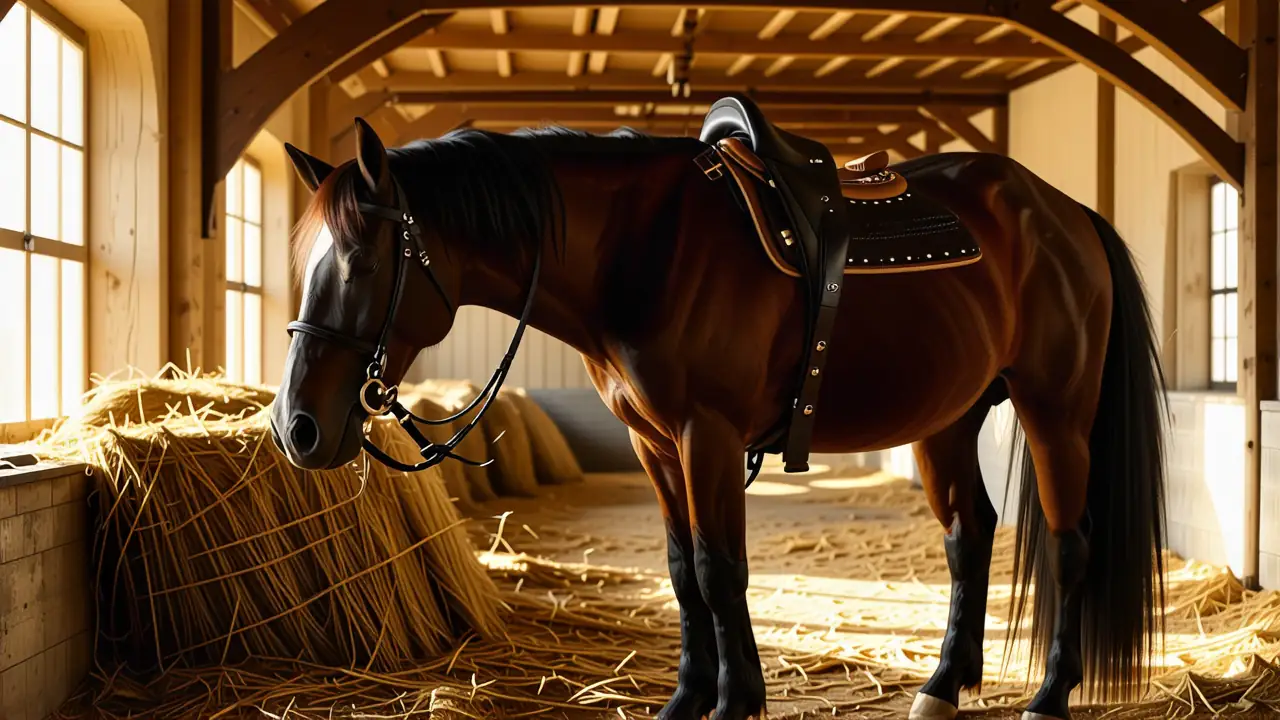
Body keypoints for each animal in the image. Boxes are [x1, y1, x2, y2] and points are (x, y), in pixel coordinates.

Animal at [270, 115, 1168, 720]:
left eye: (359, 261)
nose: (297, 430)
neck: (644, 251)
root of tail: (1064, 213)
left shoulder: (709, 434)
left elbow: (718, 569)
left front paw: (736, 702)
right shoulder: (655, 443)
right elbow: (680, 571)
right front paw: (689, 700)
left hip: (1055, 408)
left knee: (1069, 542)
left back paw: (1050, 694)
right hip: (947, 418)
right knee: (968, 534)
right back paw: (944, 686)